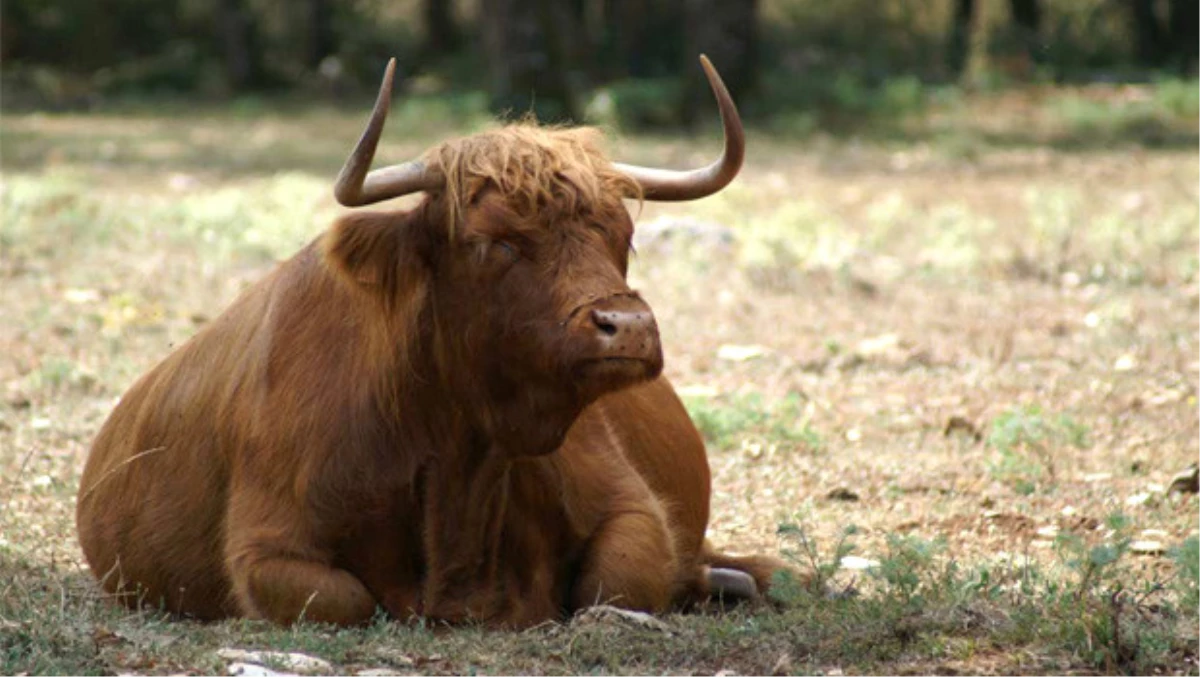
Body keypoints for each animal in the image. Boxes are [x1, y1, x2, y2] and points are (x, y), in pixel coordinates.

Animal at [77, 55, 787, 628]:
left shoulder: (630, 505)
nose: (628, 326)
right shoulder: (268, 543)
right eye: (494, 242)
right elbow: (343, 598)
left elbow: (617, 581)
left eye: (622, 234)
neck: (459, 455)